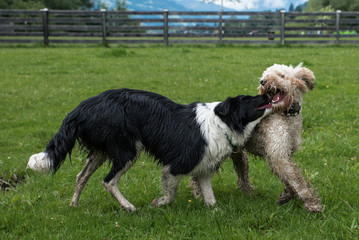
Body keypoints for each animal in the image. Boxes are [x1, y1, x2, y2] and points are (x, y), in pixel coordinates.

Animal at [28, 88, 272, 212]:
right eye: (249, 99)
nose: (268, 93)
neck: (222, 122)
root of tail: (81, 107)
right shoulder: (175, 166)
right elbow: (171, 194)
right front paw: (160, 203)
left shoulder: (203, 168)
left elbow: (210, 198)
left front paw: (215, 212)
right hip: (128, 150)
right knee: (108, 181)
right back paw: (128, 206)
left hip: (101, 151)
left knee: (81, 176)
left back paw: (74, 204)